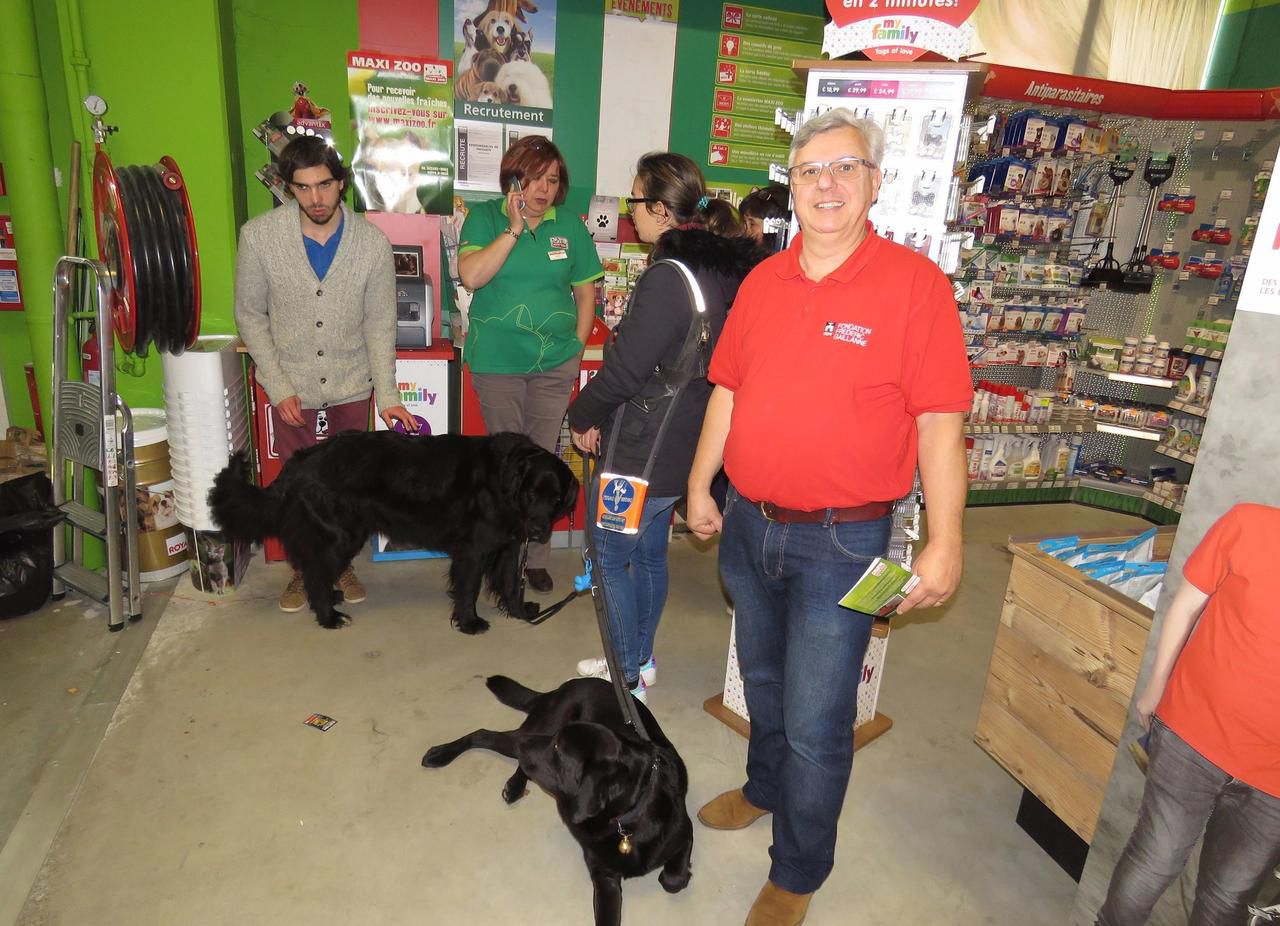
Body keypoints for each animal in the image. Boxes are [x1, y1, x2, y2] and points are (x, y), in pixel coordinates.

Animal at [208, 432, 576, 632]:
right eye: (532, 494)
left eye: (556, 498)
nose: (539, 529)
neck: (503, 479)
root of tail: (301, 461)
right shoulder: (473, 550)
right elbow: (468, 590)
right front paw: (469, 623)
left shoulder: (509, 546)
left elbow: (512, 584)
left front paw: (519, 612)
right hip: (340, 537)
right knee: (314, 575)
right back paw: (329, 617)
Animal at [424, 676, 696, 926]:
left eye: (557, 747)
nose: (525, 743)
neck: (625, 819)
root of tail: (562, 687)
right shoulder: (603, 876)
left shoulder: (685, 833)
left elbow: (673, 880)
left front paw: (673, 876)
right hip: (535, 727)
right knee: (484, 735)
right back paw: (441, 754)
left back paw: (513, 785)